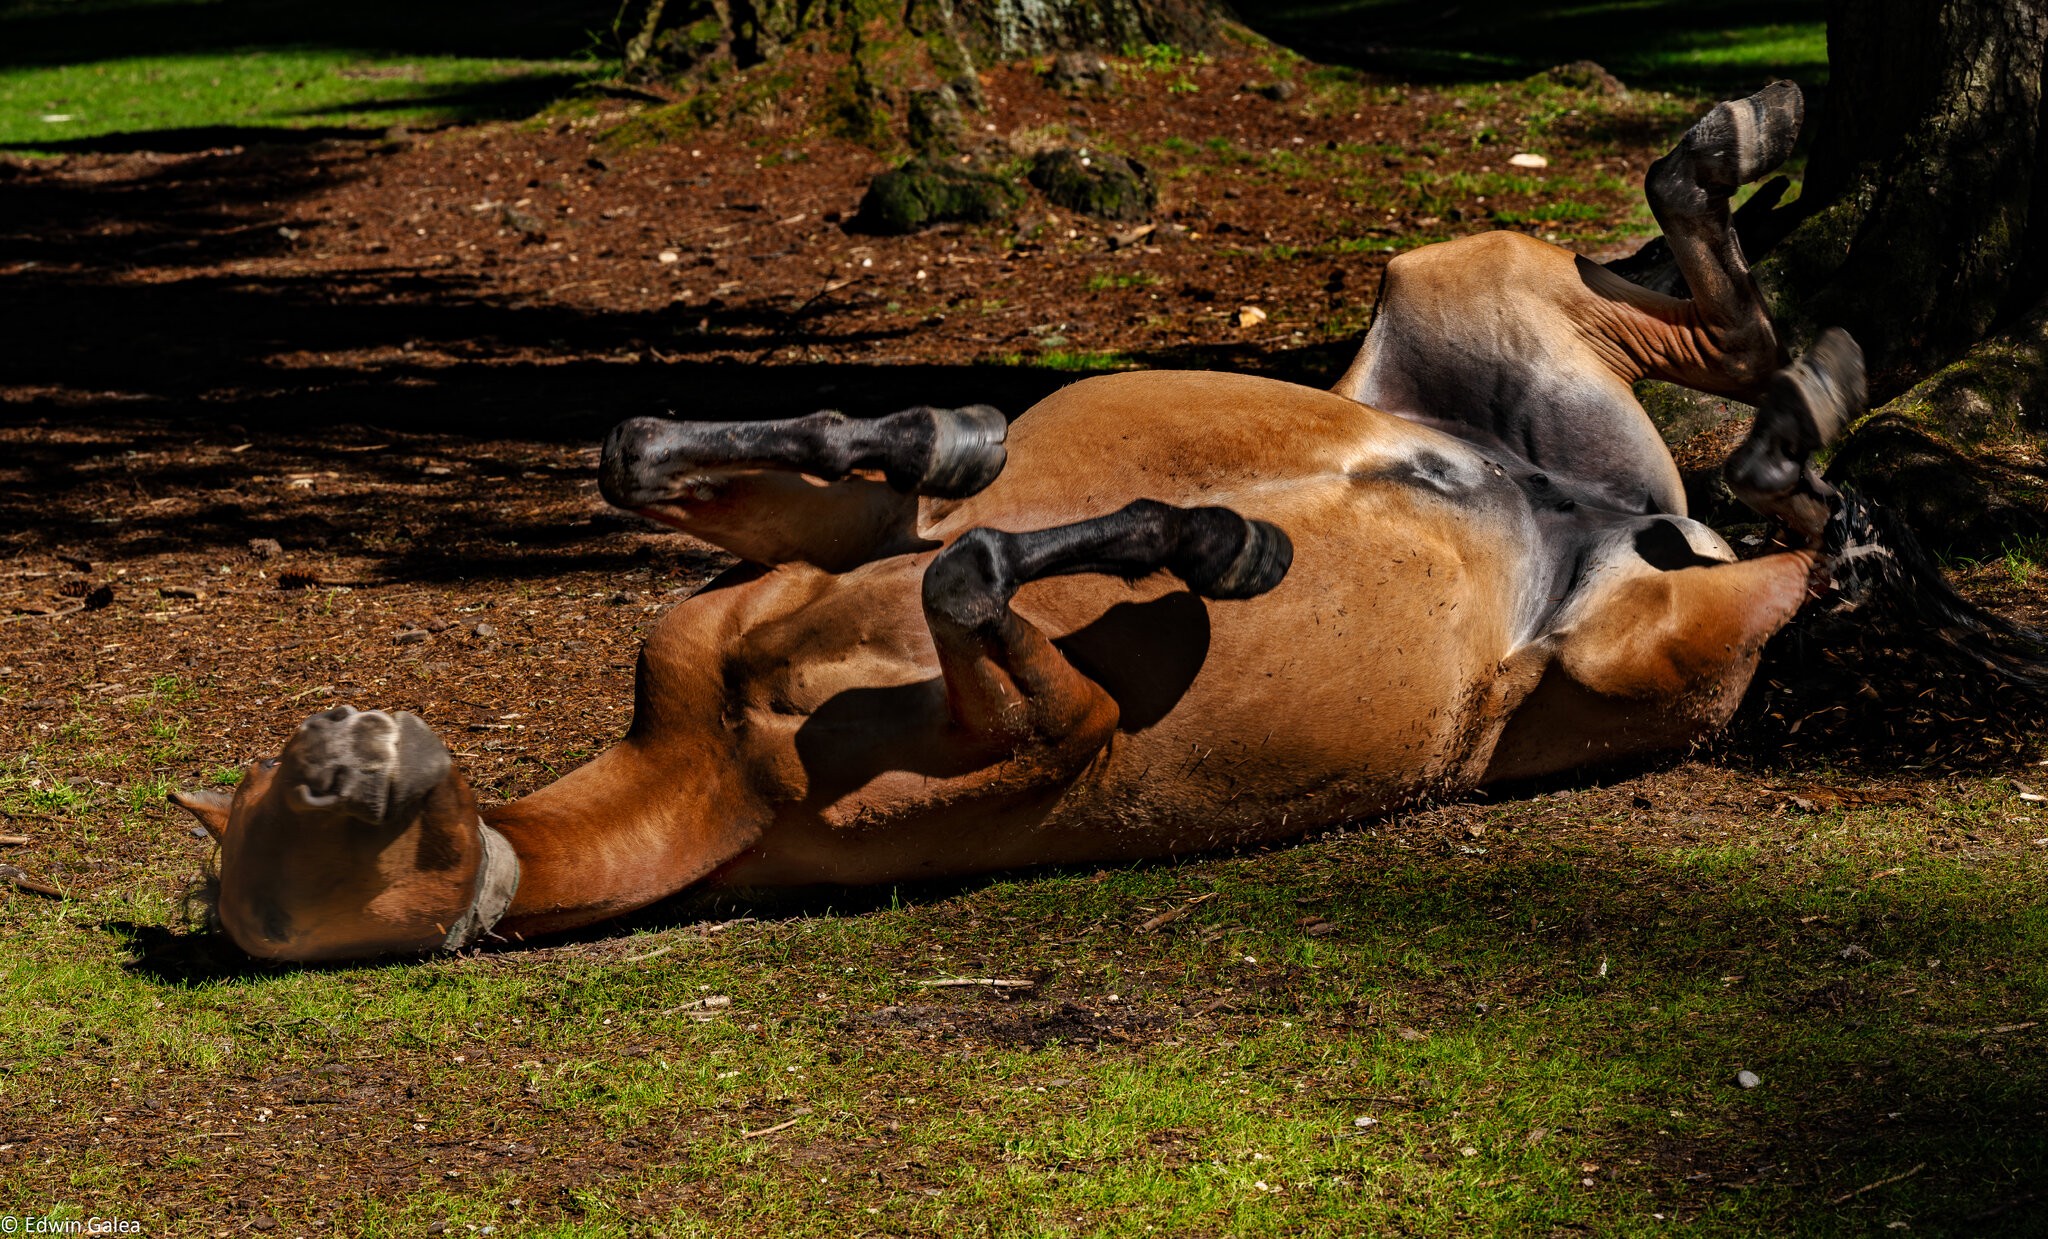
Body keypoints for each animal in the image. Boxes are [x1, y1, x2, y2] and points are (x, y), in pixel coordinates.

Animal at [173, 82, 1907, 962]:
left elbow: (694, 461)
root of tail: (1613, 524)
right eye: (288, 812)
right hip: (1642, 646)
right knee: (1768, 466)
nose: (349, 734)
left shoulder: (775, 571)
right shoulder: (1060, 734)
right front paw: (1215, 541)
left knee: (1719, 324)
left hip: (1451, 279)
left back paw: (1759, 165)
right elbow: (974, 574)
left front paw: (959, 434)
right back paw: (1809, 439)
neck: (718, 749)